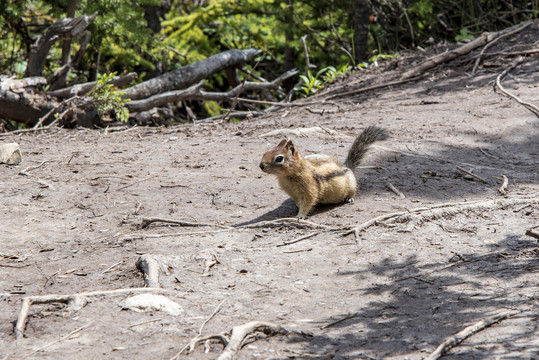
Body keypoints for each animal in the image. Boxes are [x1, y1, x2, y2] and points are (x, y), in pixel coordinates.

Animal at [260, 125, 388, 218]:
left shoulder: (309, 188)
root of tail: (347, 166)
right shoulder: (293, 194)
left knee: (353, 191)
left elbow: (308, 202)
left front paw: (300, 216)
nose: (261, 165)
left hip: (352, 184)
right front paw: (299, 208)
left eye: (279, 158)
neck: (286, 176)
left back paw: (349, 198)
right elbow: (300, 202)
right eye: (265, 153)